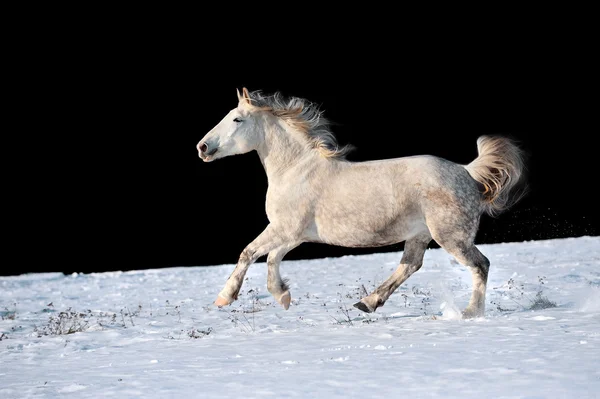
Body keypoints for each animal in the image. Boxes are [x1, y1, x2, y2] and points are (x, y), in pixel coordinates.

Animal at [198, 88, 524, 318]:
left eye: (237, 119)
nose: (202, 147)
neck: (296, 170)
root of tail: (466, 171)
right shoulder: (293, 234)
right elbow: (271, 258)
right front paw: (283, 296)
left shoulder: (283, 230)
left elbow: (249, 252)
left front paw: (224, 297)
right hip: (420, 235)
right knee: (410, 265)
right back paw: (367, 303)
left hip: (451, 237)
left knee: (480, 265)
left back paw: (471, 313)